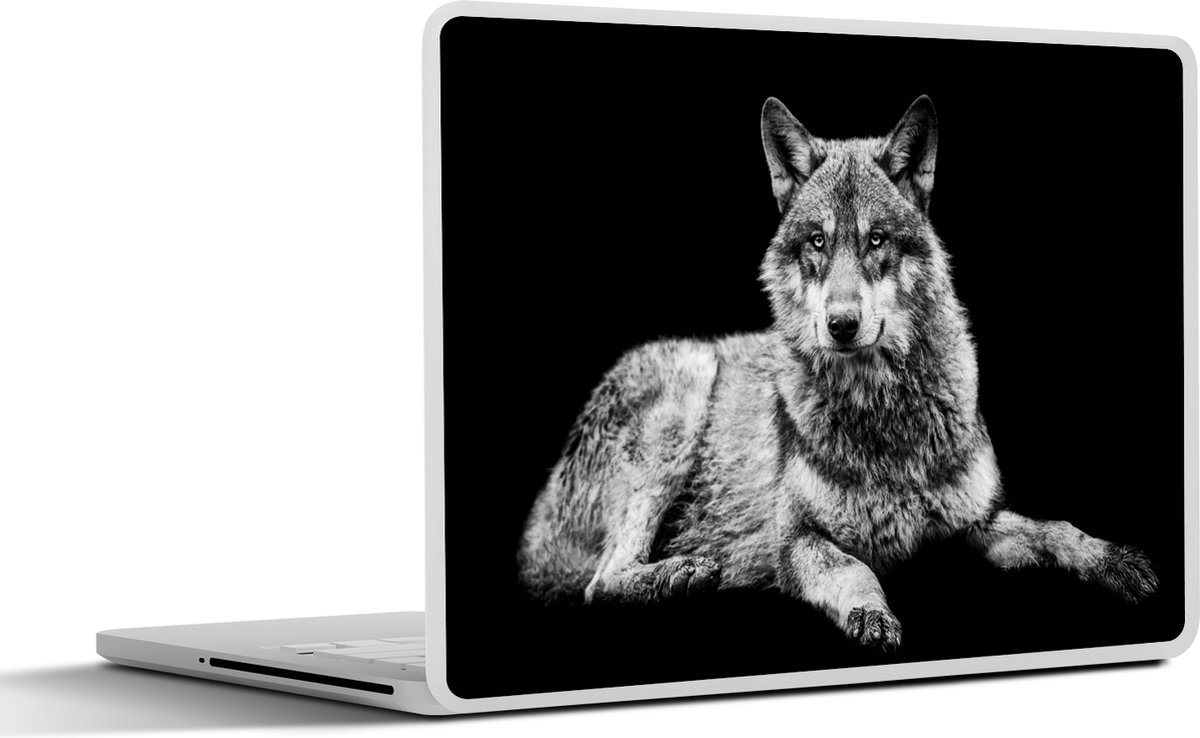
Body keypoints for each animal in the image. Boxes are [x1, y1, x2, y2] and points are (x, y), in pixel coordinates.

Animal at [517, 96, 1158, 650]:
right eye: (818, 242)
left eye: (876, 240)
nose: (842, 325)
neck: (884, 415)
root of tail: (538, 520)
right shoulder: (797, 540)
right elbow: (854, 569)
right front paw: (871, 615)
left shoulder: (976, 523)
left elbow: (1058, 528)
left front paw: (1115, 561)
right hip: (686, 388)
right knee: (599, 582)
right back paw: (682, 573)